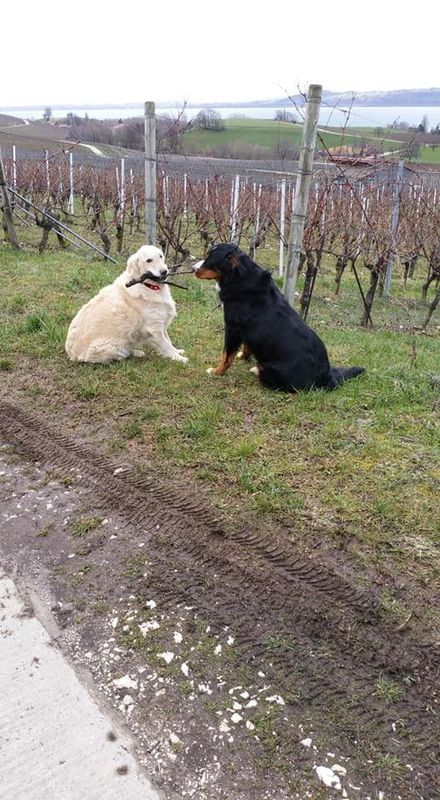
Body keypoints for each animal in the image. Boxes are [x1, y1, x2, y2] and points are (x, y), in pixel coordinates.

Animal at [193, 244, 364, 394]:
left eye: (209, 259)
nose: (193, 269)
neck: (241, 281)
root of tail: (326, 376)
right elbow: (247, 346)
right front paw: (243, 356)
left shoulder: (232, 327)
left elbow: (226, 356)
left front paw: (217, 371)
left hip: (272, 370)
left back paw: (256, 369)